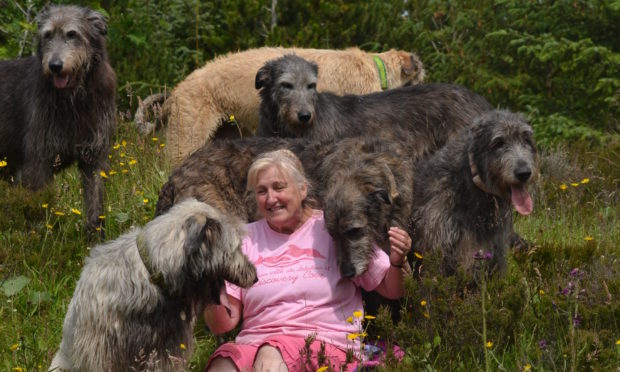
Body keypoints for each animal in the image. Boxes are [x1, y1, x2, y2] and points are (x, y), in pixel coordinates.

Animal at [0, 5, 116, 238]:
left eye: (72, 34)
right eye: (48, 35)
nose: (55, 65)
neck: (74, 100)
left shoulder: (94, 157)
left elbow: (95, 203)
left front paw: (95, 239)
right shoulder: (38, 162)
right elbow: (38, 207)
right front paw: (41, 240)